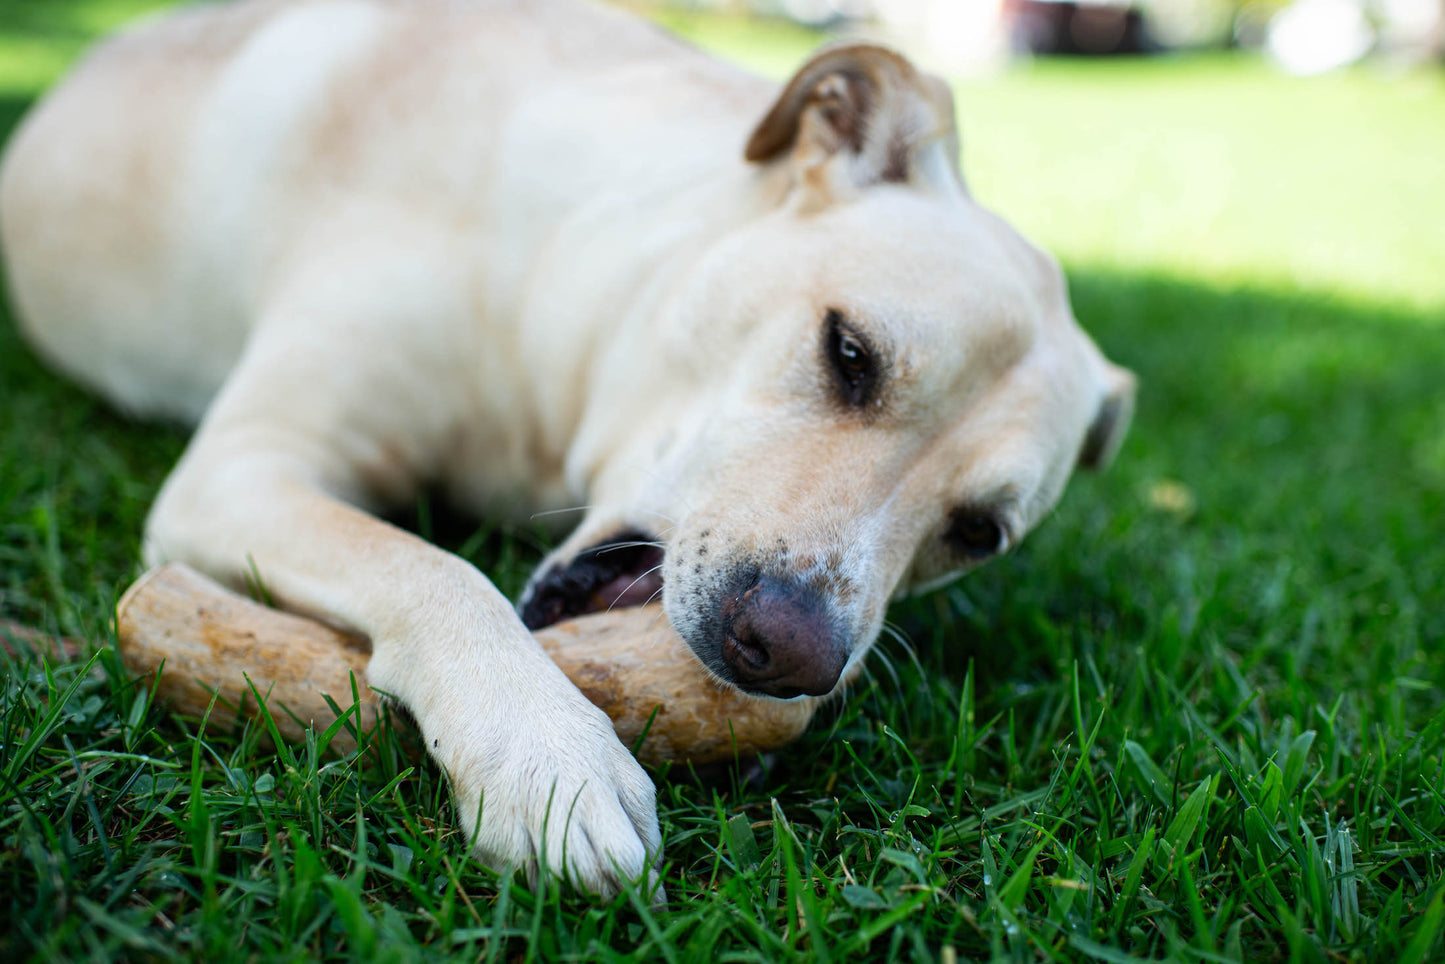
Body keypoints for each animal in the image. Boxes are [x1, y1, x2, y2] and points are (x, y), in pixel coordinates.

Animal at [0, 0, 1132, 896]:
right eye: (849, 352)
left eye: (976, 533)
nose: (788, 657)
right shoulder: (244, 464)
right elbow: (435, 568)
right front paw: (546, 758)